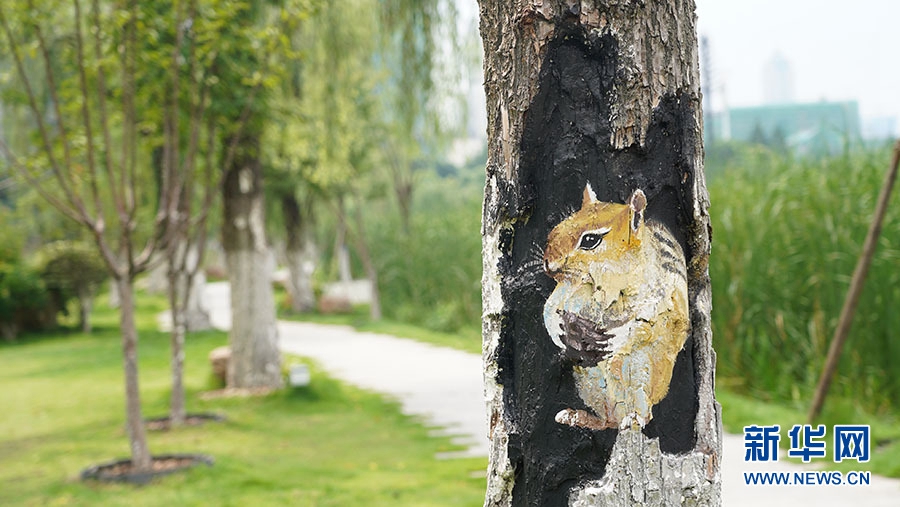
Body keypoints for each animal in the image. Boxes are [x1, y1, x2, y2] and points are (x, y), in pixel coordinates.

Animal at [540, 185, 688, 430]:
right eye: (556, 229)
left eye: (590, 240)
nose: (548, 265)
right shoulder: (567, 288)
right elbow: (549, 309)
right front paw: (558, 330)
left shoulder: (661, 298)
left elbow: (649, 324)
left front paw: (618, 337)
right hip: (589, 379)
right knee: (607, 419)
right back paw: (581, 417)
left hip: (642, 370)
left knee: (640, 407)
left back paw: (634, 418)